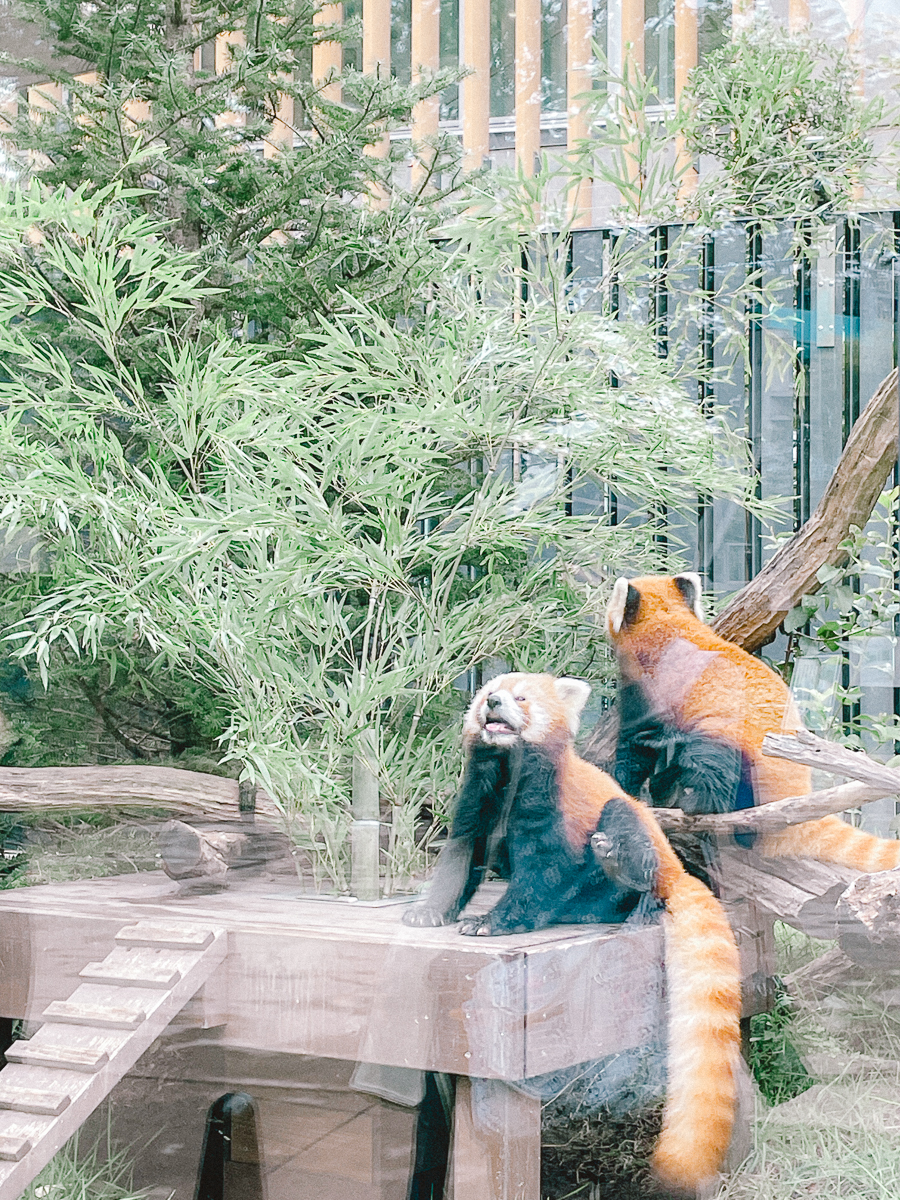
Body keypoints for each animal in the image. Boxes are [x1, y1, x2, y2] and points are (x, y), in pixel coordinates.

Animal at [405, 676, 744, 1200]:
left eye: (521, 697)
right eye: (488, 693)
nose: (493, 702)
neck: (509, 771)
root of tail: (676, 867)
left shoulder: (551, 810)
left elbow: (542, 873)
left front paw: (494, 922)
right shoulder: (478, 798)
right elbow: (460, 857)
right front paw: (429, 910)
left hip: (634, 832)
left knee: (623, 827)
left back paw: (621, 867)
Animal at [607, 571, 900, 873]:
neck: (668, 623)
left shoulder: (648, 690)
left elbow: (637, 746)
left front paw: (623, 783)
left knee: (712, 761)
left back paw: (694, 801)